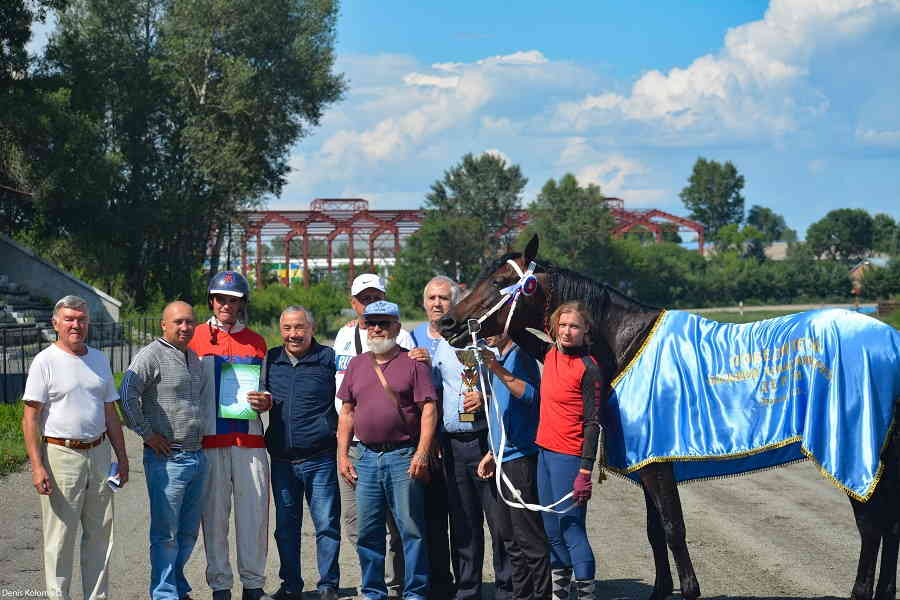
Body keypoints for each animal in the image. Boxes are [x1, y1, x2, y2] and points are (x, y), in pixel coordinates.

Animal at [440, 234, 900, 600]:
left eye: (500, 282)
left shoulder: (658, 466)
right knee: (889, 526)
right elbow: (654, 531)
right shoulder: (648, 463)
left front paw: (690, 589)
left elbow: (674, 528)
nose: (449, 324)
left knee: (870, 526)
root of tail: (890, 339)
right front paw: (662, 589)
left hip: (855, 451)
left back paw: (861, 591)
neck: (626, 343)